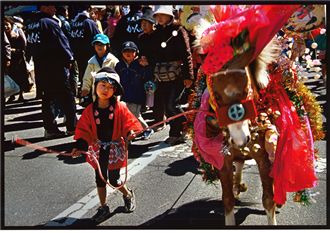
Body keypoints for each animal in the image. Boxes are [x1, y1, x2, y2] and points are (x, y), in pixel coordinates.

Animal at [186, 4, 324, 225]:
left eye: (246, 90)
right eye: (216, 95)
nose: (241, 139)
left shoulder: (263, 157)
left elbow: (268, 199)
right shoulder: (223, 159)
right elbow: (227, 199)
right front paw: (233, 195)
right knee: (240, 163)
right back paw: (238, 184)